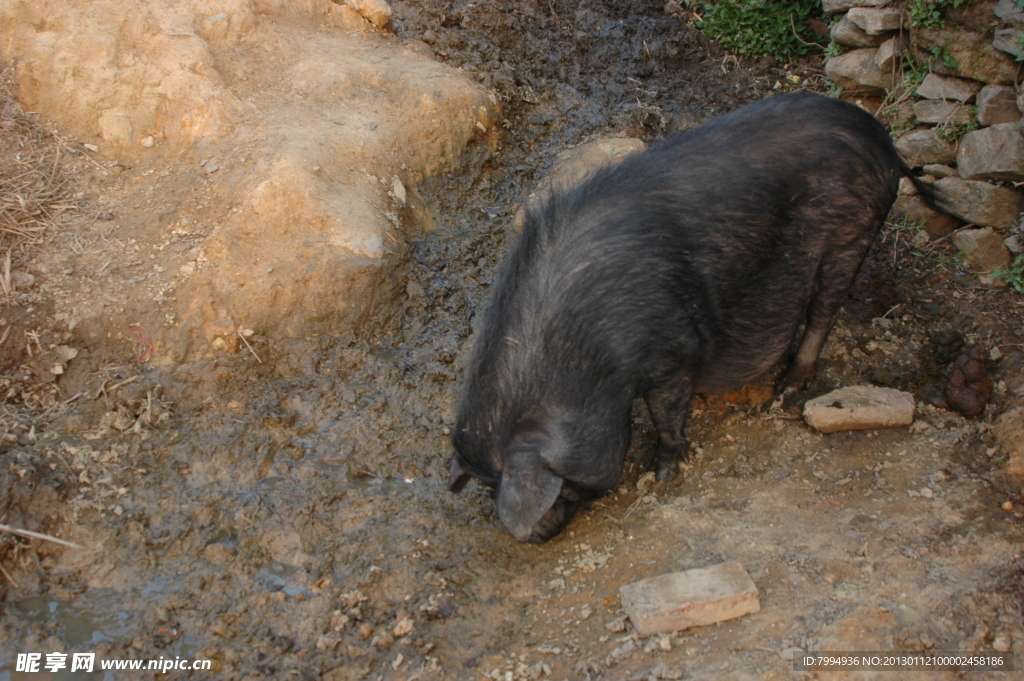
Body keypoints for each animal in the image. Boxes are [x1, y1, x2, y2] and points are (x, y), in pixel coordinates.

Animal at [450, 93, 913, 540]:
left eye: (557, 487)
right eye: (488, 486)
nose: (534, 535)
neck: (588, 355)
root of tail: (881, 138)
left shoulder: (671, 353)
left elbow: (667, 417)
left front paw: (662, 477)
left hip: (852, 235)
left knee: (824, 311)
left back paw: (788, 388)